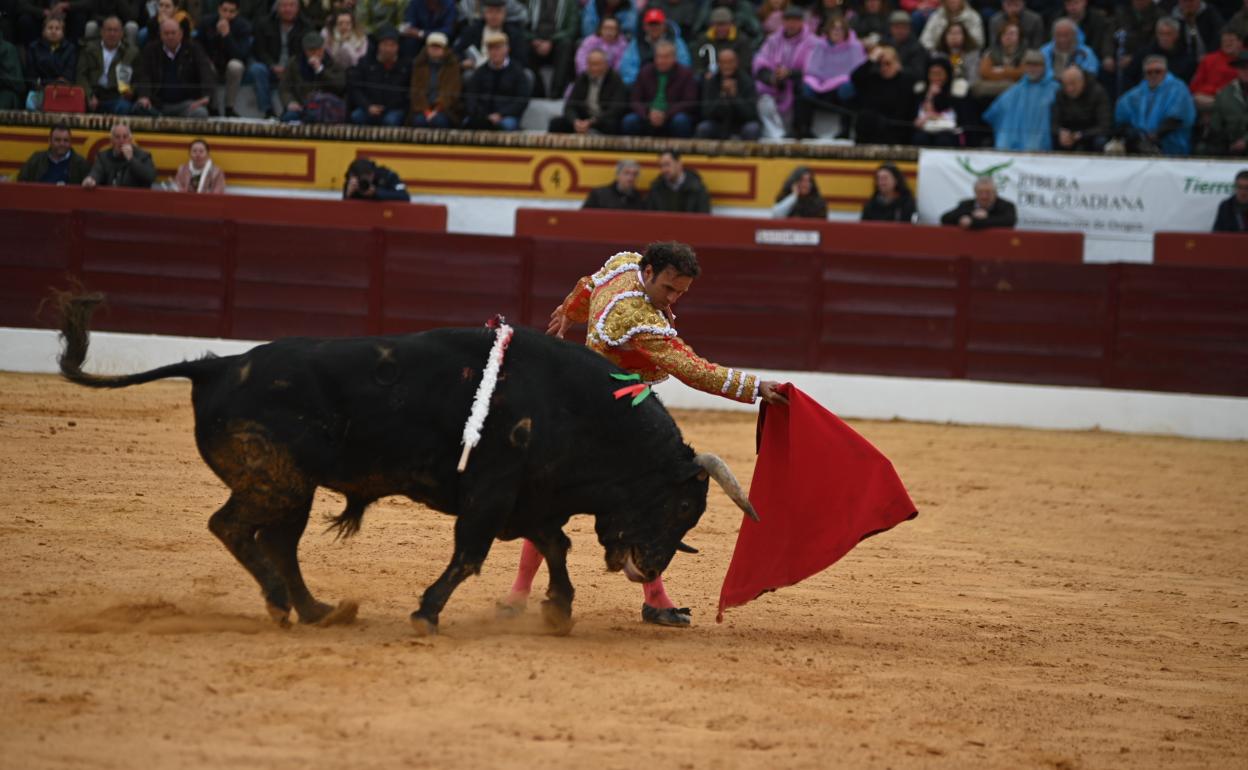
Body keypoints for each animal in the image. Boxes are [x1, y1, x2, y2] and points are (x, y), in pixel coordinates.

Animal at [56, 297, 758, 633]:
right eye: (682, 505)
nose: (650, 568)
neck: (581, 409)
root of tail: (218, 365)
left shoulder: (529, 497)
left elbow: (553, 546)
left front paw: (557, 610)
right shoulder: (492, 494)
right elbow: (472, 555)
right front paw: (427, 613)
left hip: (293, 489)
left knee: (277, 543)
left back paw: (316, 609)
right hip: (275, 479)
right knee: (234, 528)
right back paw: (285, 606)